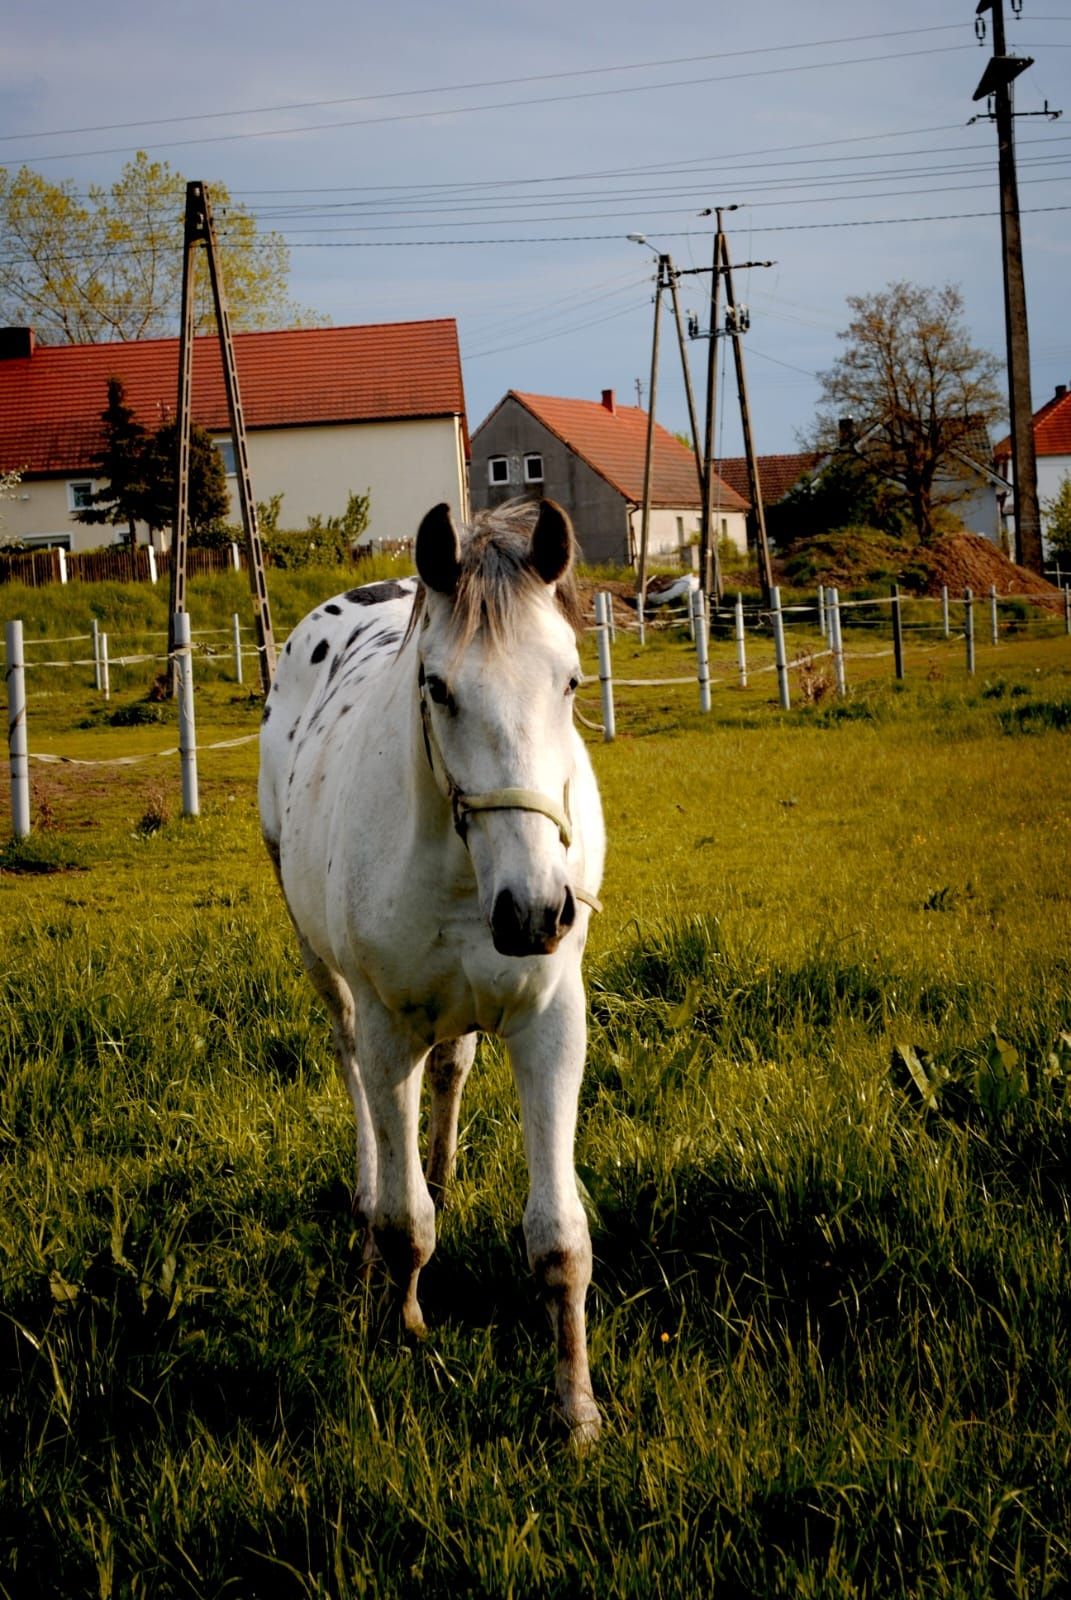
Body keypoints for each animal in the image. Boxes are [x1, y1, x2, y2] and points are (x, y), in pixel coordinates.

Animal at [259, 496, 605, 1440]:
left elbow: (559, 1237)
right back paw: (369, 1199)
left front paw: (575, 1410)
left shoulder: (550, 1023)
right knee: (355, 1078)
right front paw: (404, 1322)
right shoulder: (389, 1030)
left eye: (570, 682)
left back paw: (445, 1171)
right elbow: (404, 1223)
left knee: (452, 1069)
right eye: (438, 687)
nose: (536, 910)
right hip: (324, 973)